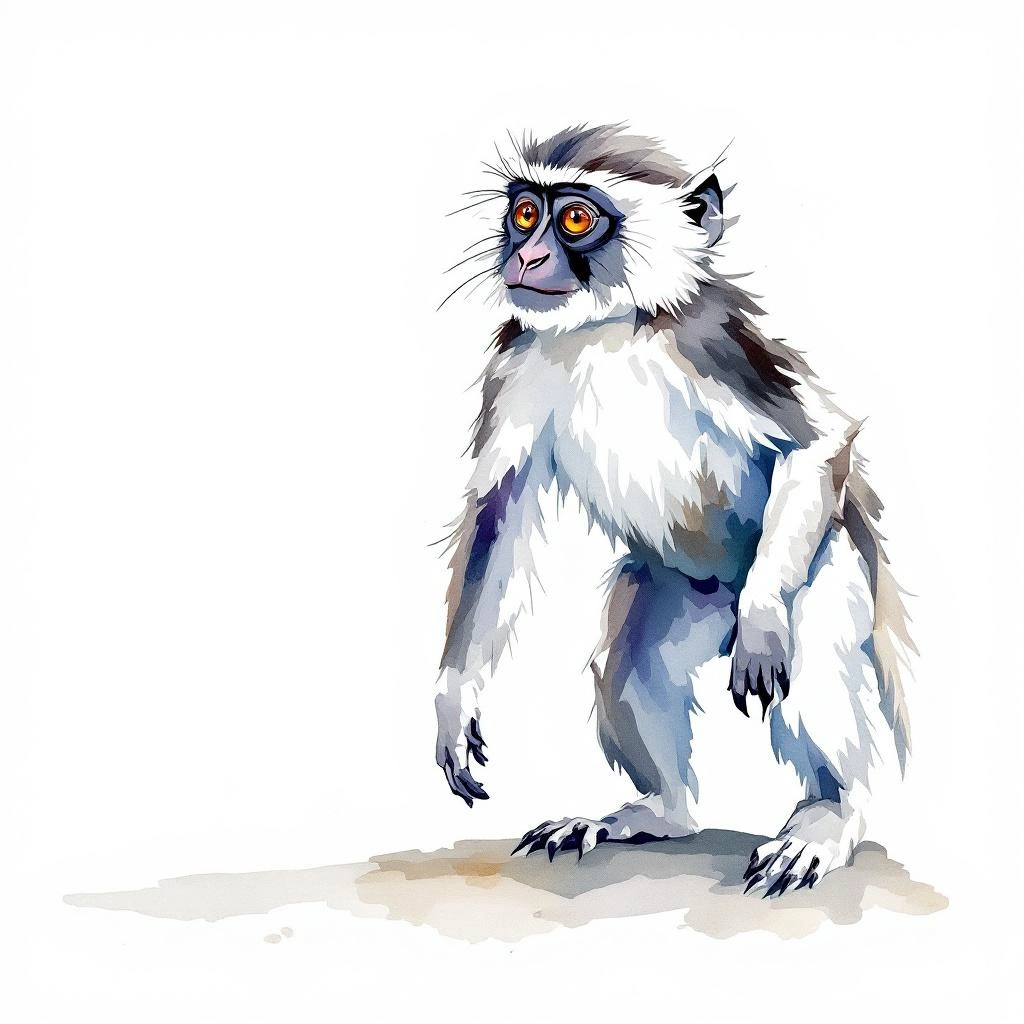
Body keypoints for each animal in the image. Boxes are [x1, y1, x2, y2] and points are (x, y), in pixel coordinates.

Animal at [433, 125, 914, 897]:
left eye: (575, 219)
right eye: (524, 213)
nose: (525, 257)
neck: (610, 327)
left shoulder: (716, 344)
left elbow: (818, 444)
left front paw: (762, 623)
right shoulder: (517, 358)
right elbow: (497, 516)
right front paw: (454, 700)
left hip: (827, 555)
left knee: (812, 643)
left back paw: (828, 814)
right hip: (675, 591)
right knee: (631, 668)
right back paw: (659, 813)